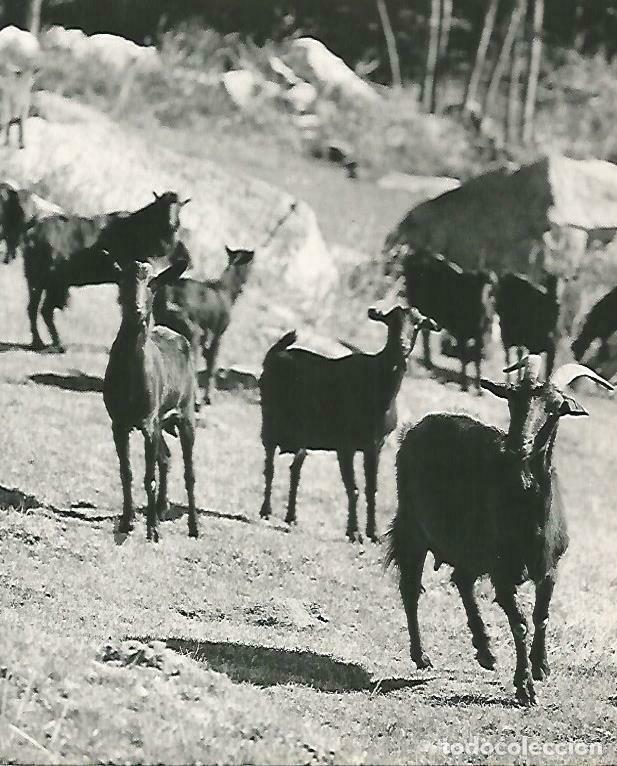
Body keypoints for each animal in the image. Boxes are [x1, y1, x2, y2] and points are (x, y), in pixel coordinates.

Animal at [104, 257, 198, 542]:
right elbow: (127, 472)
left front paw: (153, 531)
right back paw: (161, 507)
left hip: (185, 413)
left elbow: (149, 477)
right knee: (165, 457)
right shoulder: (119, 422)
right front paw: (127, 521)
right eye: (121, 280)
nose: (136, 310)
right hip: (160, 422)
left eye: (153, 285)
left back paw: (193, 527)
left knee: (189, 472)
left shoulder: (147, 421)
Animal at [153, 246, 255, 405]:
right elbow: (212, 364)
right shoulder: (218, 333)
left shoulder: (205, 336)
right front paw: (208, 398)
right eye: (250, 266)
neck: (226, 291)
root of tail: (168, 296)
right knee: (192, 364)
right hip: (191, 332)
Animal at [259, 305, 438, 542]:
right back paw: (265, 511)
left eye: (417, 325)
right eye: (391, 321)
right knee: (269, 467)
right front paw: (354, 532)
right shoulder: (345, 445)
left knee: (295, 469)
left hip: (302, 436)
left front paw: (373, 533)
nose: (403, 345)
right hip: (269, 423)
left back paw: (291, 518)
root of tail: (275, 353)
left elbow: (371, 489)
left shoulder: (375, 445)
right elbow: (352, 488)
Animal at [386, 354, 612, 705]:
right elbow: (519, 624)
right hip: (413, 525)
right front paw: (524, 687)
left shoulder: (550, 567)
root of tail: (415, 428)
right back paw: (421, 656)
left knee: (461, 580)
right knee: (411, 588)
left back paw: (485, 651)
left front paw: (541, 666)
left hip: (467, 546)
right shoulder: (501, 570)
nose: (519, 446)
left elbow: (541, 616)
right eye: (512, 401)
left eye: (554, 407)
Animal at [403, 249, 495, 393]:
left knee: (424, 332)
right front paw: (464, 386)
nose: (487, 311)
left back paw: (428, 363)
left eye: (491, 291)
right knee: (421, 331)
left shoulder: (479, 337)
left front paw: (478, 388)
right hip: (416, 305)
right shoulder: (462, 333)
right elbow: (464, 358)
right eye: (476, 287)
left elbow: (477, 361)